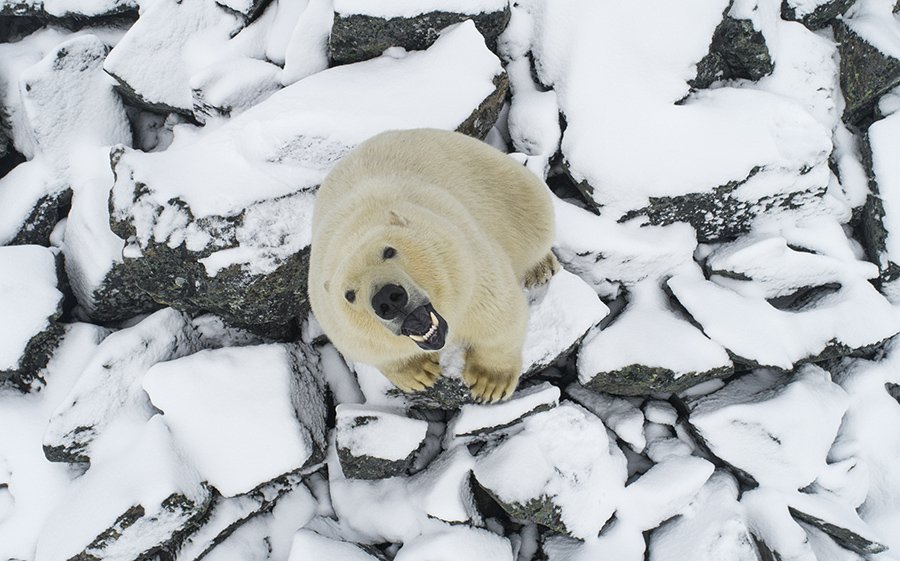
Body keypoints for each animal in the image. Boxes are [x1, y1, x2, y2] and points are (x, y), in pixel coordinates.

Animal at [308, 128, 556, 398]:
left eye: (389, 251)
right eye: (349, 295)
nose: (388, 298)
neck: (355, 228)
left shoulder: (466, 264)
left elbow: (499, 313)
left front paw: (489, 382)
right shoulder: (337, 321)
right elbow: (372, 350)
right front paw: (419, 374)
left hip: (507, 190)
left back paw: (540, 268)